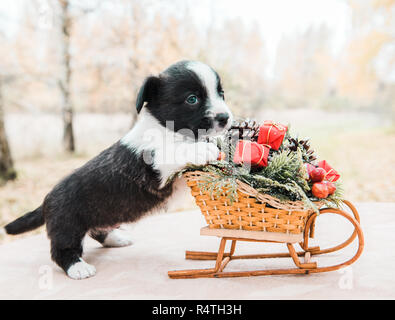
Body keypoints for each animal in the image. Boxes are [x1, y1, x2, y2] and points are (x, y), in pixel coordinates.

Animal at [2, 60, 232, 280]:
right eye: (192, 99)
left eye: (221, 93)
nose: (225, 117)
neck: (166, 128)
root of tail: (46, 199)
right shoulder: (156, 168)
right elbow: (174, 151)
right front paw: (204, 149)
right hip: (67, 226)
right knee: (61, 251)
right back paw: (78, 268)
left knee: (97, 231)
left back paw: (116, 238)